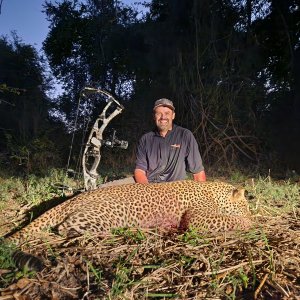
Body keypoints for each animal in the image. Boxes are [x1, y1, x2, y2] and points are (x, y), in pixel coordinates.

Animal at [7, 179, 252, 247]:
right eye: (246, 207)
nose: (250, 215)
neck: (214, 191)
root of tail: (72, 199)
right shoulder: (197, 216)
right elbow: (226, 218)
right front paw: (248, 224)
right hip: (101, 216)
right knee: (64, 228)